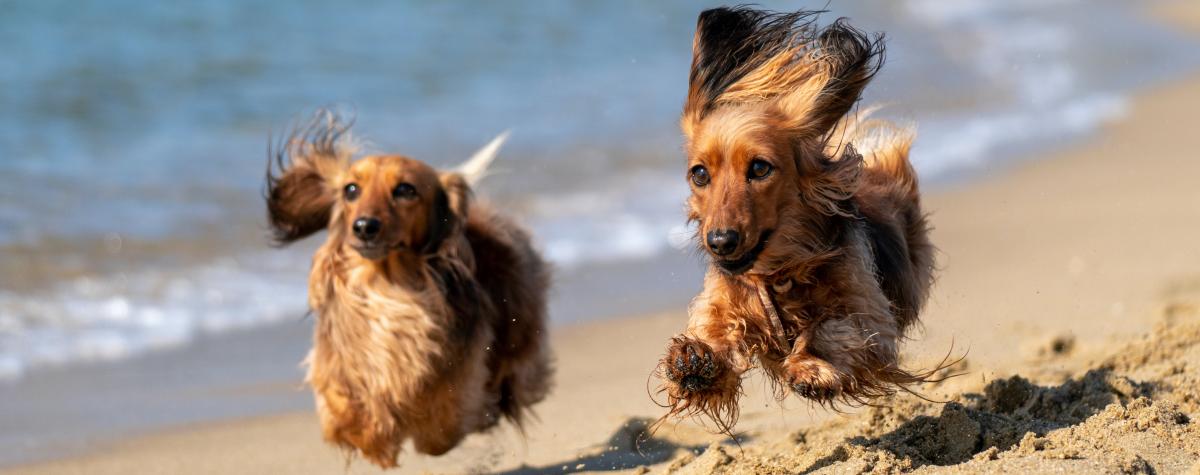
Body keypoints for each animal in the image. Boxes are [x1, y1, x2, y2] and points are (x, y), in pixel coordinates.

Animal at [265, 112, 549, 467]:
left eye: (404, 189)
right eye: (351, 189)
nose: (364, 227)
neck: (388, 285)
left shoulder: (459, 373)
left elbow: (440, 423)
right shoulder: (339, 364)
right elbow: (343, 407)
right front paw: (373, 435)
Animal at [657, 7, 936, 429]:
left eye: (760, 168)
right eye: (699, 174)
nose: (720, 242)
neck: (778, 273)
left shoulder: (870, 317)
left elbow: (831, 328)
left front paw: (811, 367)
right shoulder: (723, 301)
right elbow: (714, 330)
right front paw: (694, 360)